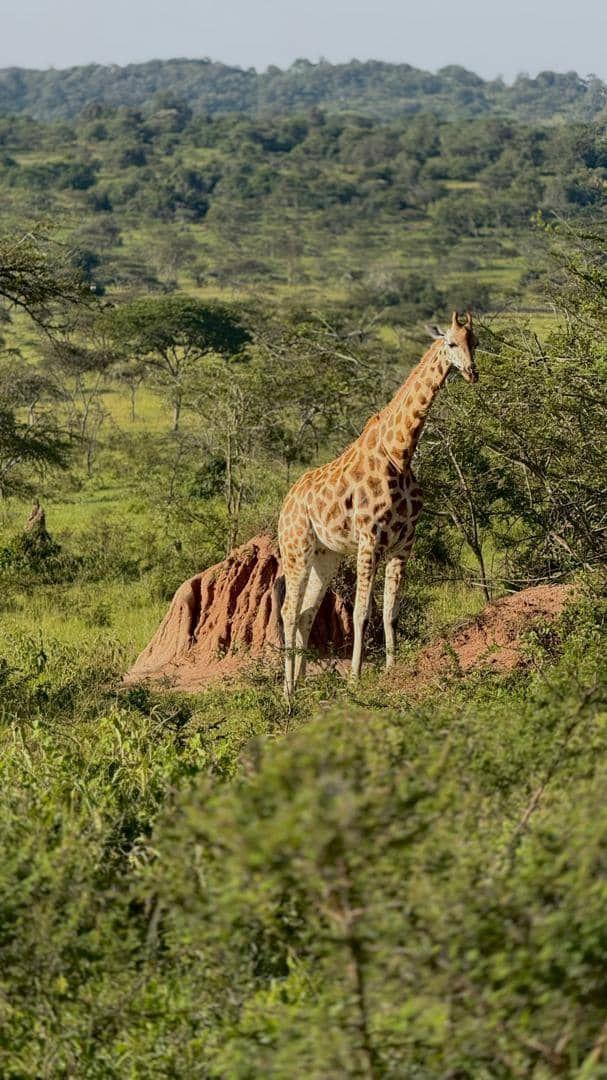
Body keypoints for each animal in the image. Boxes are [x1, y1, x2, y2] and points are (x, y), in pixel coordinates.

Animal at [278, 310, 478, 697]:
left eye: (474, 342)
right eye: (450, 343)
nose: (472, 372)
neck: (399, 454)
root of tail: (286, 503)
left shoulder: (404, 542)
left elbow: (390, 611)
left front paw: (391, 668)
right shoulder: (369, 540)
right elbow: (361, 612)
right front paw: (355, 678)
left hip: (326, 554)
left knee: (307, 611)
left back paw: (302, 682)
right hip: (296, 547)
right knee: (288, 610)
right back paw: (287, 690)